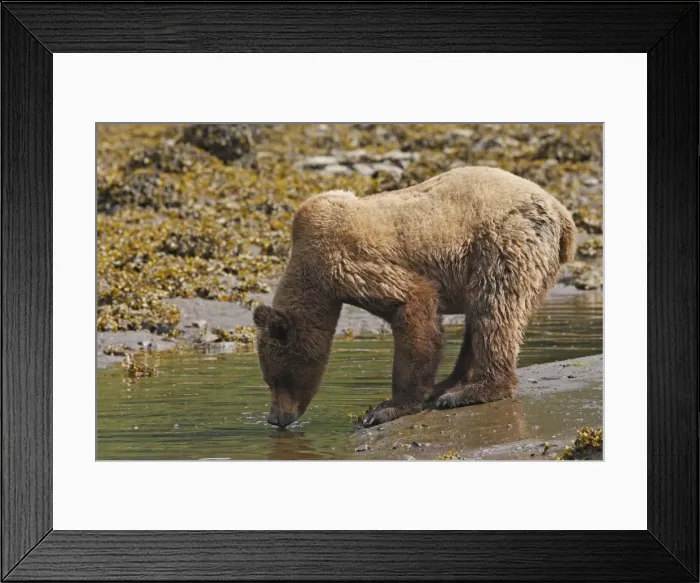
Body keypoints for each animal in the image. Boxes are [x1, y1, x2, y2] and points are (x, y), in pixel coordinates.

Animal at [253, 166, 576, 429]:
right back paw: (450, 383)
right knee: (480, 316)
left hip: (504, 242)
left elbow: (412, 301)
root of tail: (563, 215)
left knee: (494, 308)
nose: (275, 419)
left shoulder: (344, 262)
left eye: (276, 379)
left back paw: (472, 391)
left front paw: (386, 407)